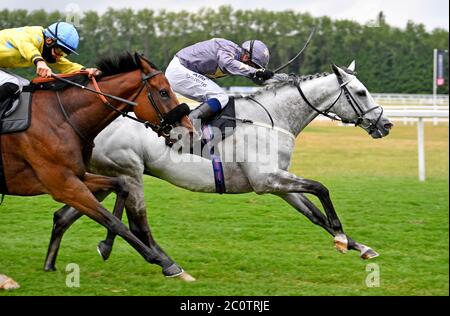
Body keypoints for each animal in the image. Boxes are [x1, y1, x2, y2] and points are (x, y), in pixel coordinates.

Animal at [1, 51, 195, 286]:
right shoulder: (64, 186)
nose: (189, 131)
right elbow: (114, 222)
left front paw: (106, 246)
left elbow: (121, 187)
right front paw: (163, 262)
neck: (62, 118)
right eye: (164, 92)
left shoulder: (78, 176)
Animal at [43, 61, 394, 278]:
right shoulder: (268, 181)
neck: (272, 118)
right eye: (360, 92)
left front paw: (359, 246)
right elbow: (322, 188)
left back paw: (57, 262)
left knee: (67, 214)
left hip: (104, 176)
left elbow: (315, 214)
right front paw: (342, 237)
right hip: (128, 171)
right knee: (135, 221)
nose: (386, 124)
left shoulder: (279, 184)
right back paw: (166, 264)